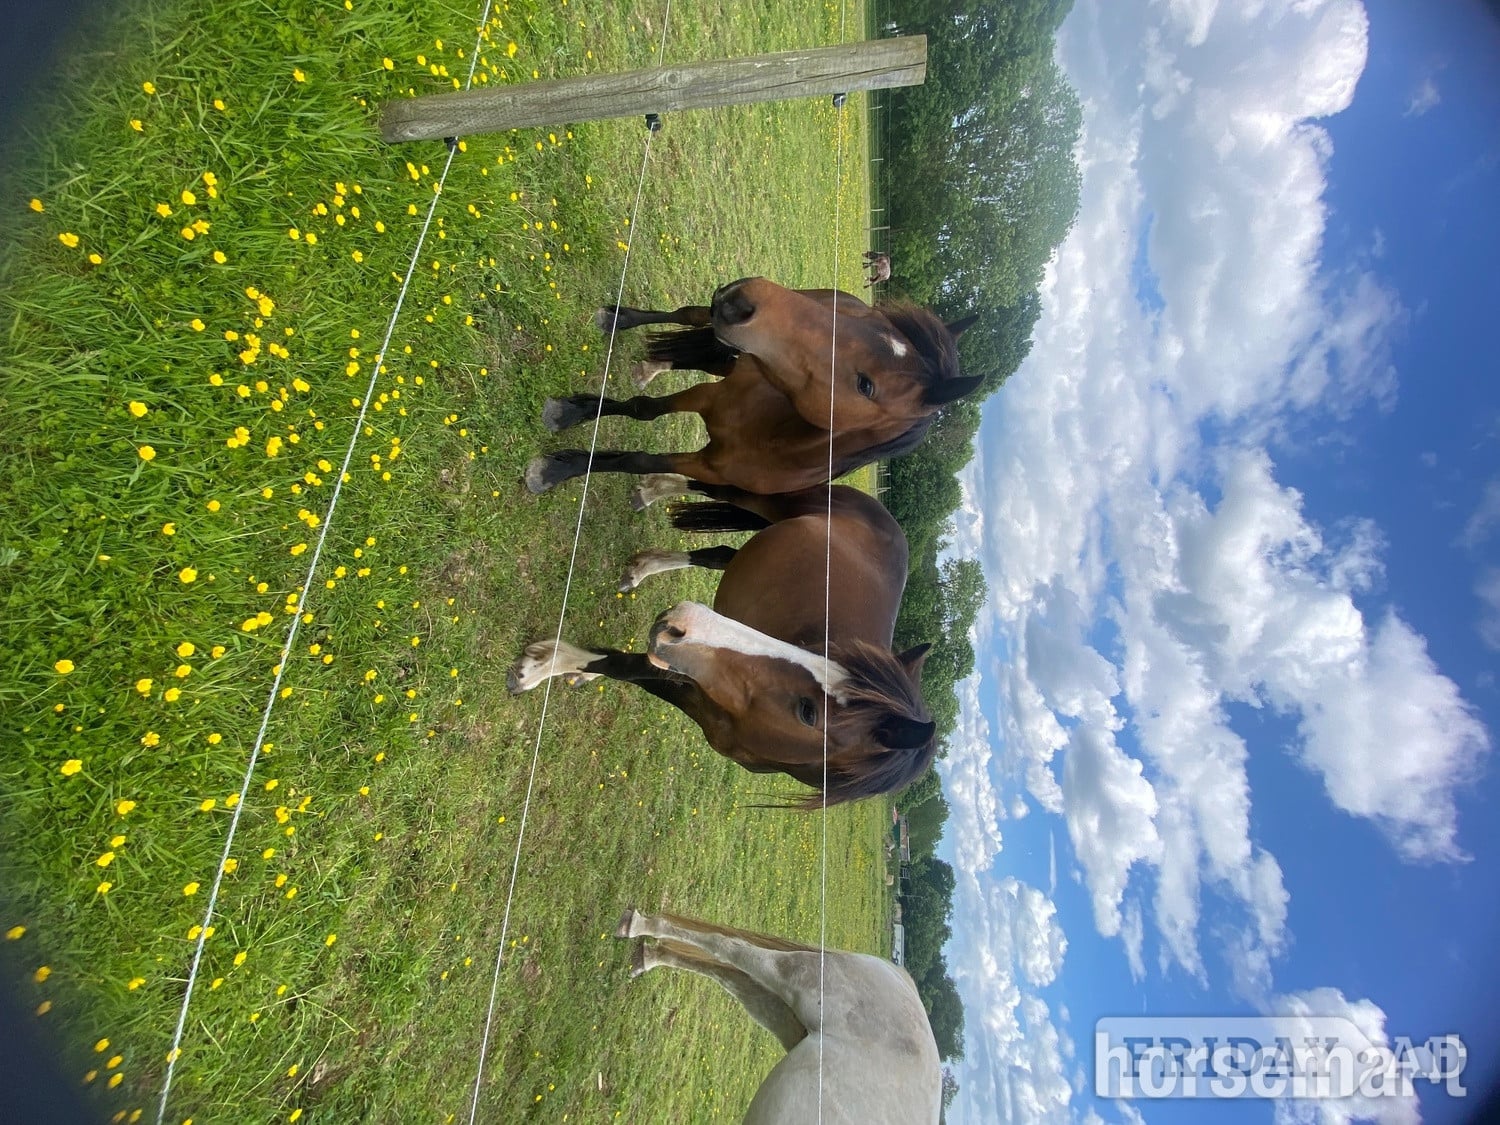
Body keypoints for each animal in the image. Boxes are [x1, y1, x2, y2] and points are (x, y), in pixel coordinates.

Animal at [506, 483, 937, 807]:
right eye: (821, 650)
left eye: (808, 713)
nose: (682, 623)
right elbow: (621, 665)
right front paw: (541, 666)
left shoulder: (696, 691)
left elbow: (629, 668)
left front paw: (559, 668)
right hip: (773, 499)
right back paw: (650, 490)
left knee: (719, 554)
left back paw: (644, 567)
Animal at [524, 277, 982, 500]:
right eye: (867, 322)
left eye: (866, 385)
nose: (744, 299)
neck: (770, 437)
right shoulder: (709, 397)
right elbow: (643, 410)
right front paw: (570, 423)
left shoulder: (704, 466)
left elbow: (638, 459)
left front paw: (560, 466)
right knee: (690, 315)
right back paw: (620, 319)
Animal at [616, 905, 941, 1125]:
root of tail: (898, 976)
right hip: (798, 978)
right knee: (732, 950)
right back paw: (638, 926)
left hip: (782, 1012)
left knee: (729, 970)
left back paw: (647, 954)